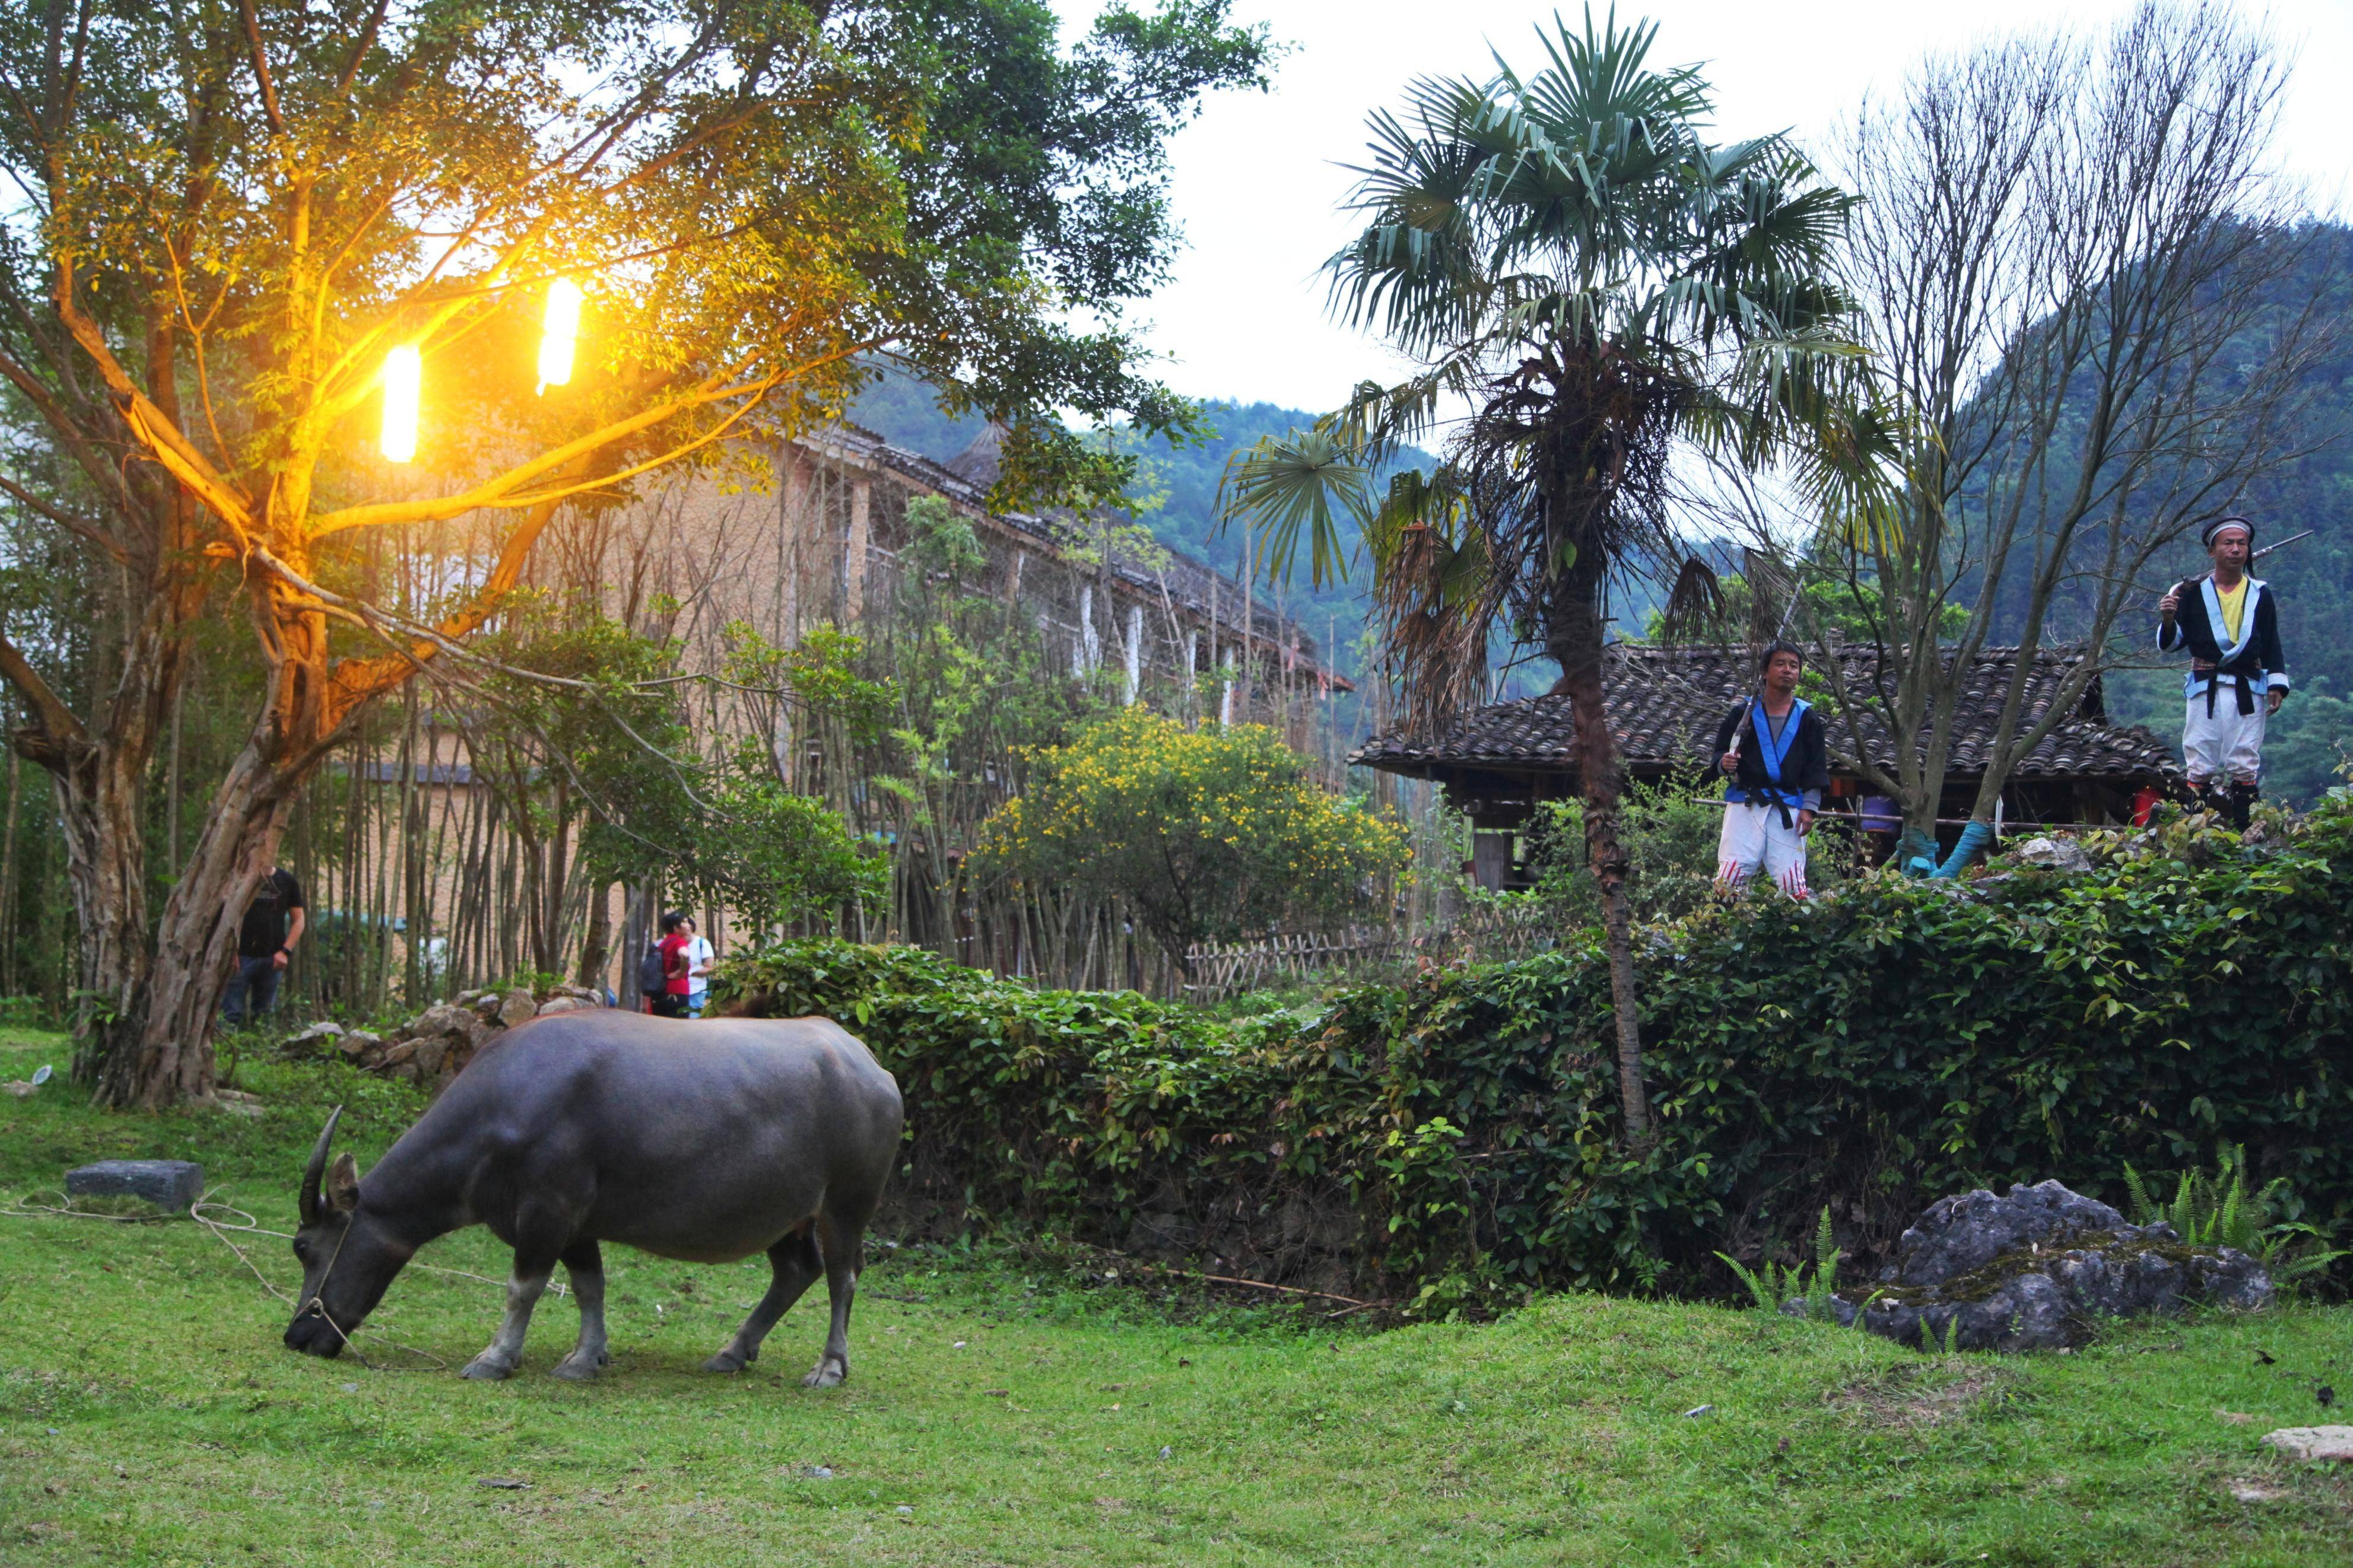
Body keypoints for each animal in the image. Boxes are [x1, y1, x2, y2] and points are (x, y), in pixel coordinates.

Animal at [275, 1010, 898, 1382]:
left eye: (305, 1247)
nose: (297, 1334)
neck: (500, 1111)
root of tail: (868, 1064)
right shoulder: (576, 1225)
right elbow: (587, 1286)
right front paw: (585, 1357)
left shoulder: (546, 1213)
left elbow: (522, 1288)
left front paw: (495, 1357)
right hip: (786, 1215)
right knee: (796, 1271)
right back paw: (731, 1350)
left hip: (845, 1205)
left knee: (842, 1278)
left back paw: (829, 1366)